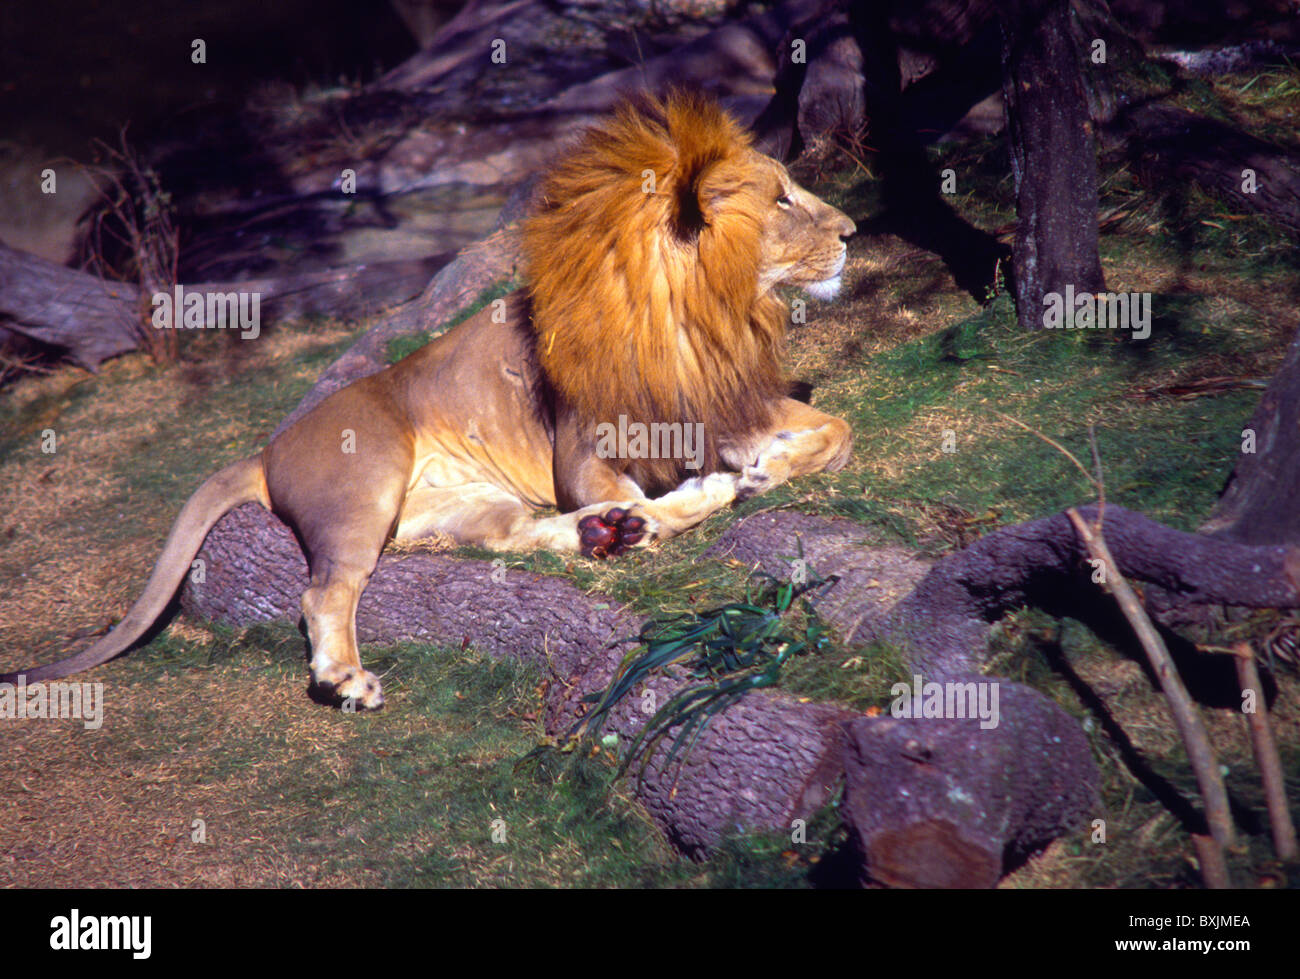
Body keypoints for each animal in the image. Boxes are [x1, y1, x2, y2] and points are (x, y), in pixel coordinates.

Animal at [3, 91, 855, 709]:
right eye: (782, 199)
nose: (852, 230)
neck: (699, 313)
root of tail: (268, 446)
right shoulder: (585, 452)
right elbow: (657, 491)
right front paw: (714, 490)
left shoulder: (725, 409)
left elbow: (835, 429)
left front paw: (767, 468)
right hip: (364, 483)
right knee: (325, 591)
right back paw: (348, 674)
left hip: (467, 500)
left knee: (517, 535)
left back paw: (606, 534)